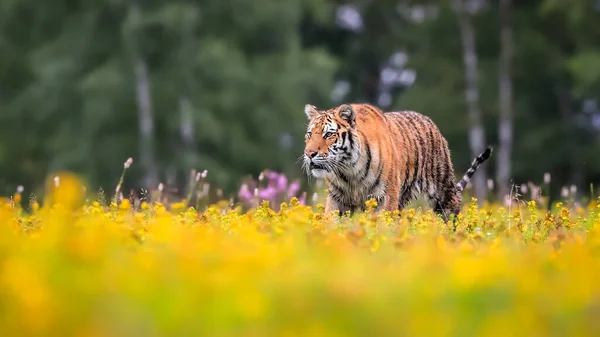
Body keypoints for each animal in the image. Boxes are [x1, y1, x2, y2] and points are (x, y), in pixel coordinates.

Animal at [300, 103, 492, 222]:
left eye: (328, 135)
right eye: (309, 134)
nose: (309, 153)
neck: (349, 170)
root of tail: (431, 123)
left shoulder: (385, 196)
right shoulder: (336, 197)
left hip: (443, 191)